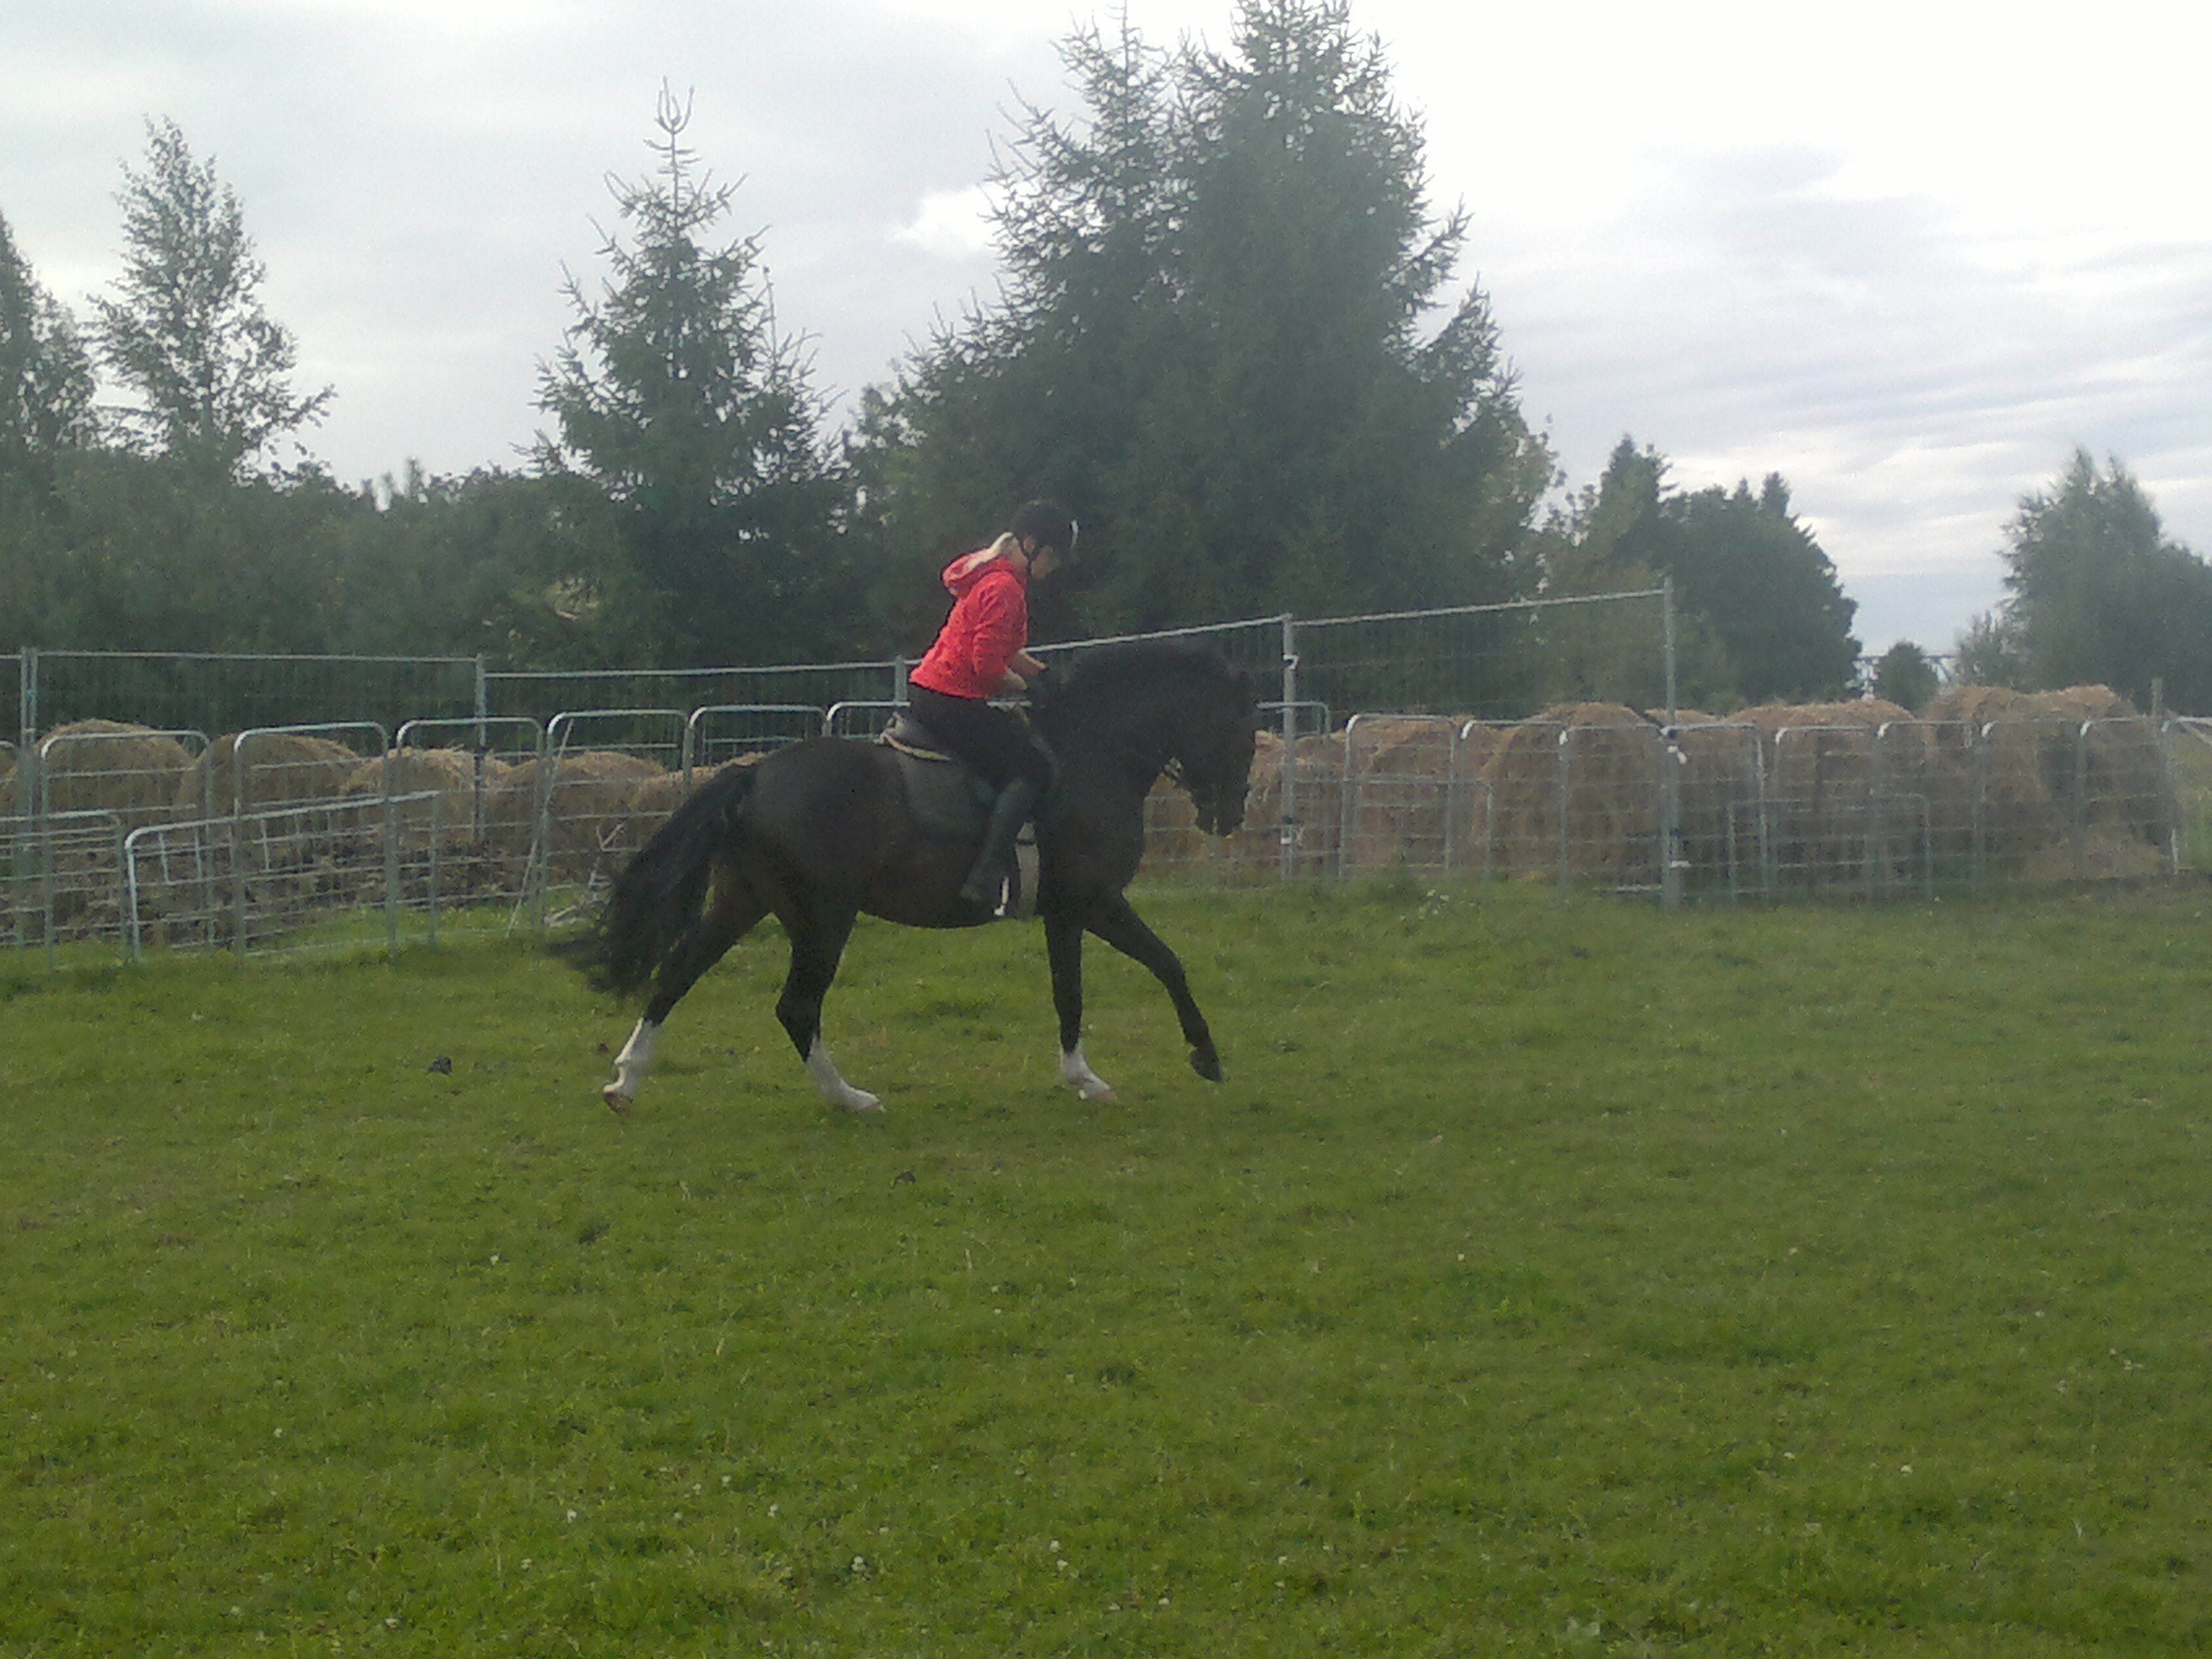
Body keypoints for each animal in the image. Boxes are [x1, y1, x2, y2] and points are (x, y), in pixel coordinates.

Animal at [568, 639, 1261, 1113]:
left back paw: (626, 1079)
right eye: (1246, 735)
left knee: (676, 976)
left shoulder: (1065, 912)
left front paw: (1083, 1079)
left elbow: (1070, 994)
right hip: (825, 916)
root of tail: (756, 774)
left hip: (744, 901)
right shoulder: (1096, 901)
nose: (1228, 815)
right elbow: (1167, 962)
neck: (1095, 751)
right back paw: (849, 1098)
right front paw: (1206, 1055)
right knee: (797, 1006)